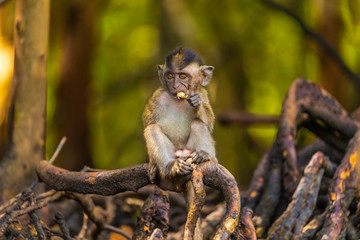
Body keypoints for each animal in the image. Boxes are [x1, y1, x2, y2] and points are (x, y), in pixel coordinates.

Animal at [143, 46, 217, 184]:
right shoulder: (157, 97)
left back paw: (205, 156)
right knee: (152, 129)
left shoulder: (202, 93)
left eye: (182, 76)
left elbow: (209, 123)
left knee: (197, 123)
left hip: (190, 150)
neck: (179, 100)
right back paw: (170, 166)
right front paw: (152, 164)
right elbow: (147, 123)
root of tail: (182, 152)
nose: (175, 86)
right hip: (174, 153)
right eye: (170, 76)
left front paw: (196, 103)